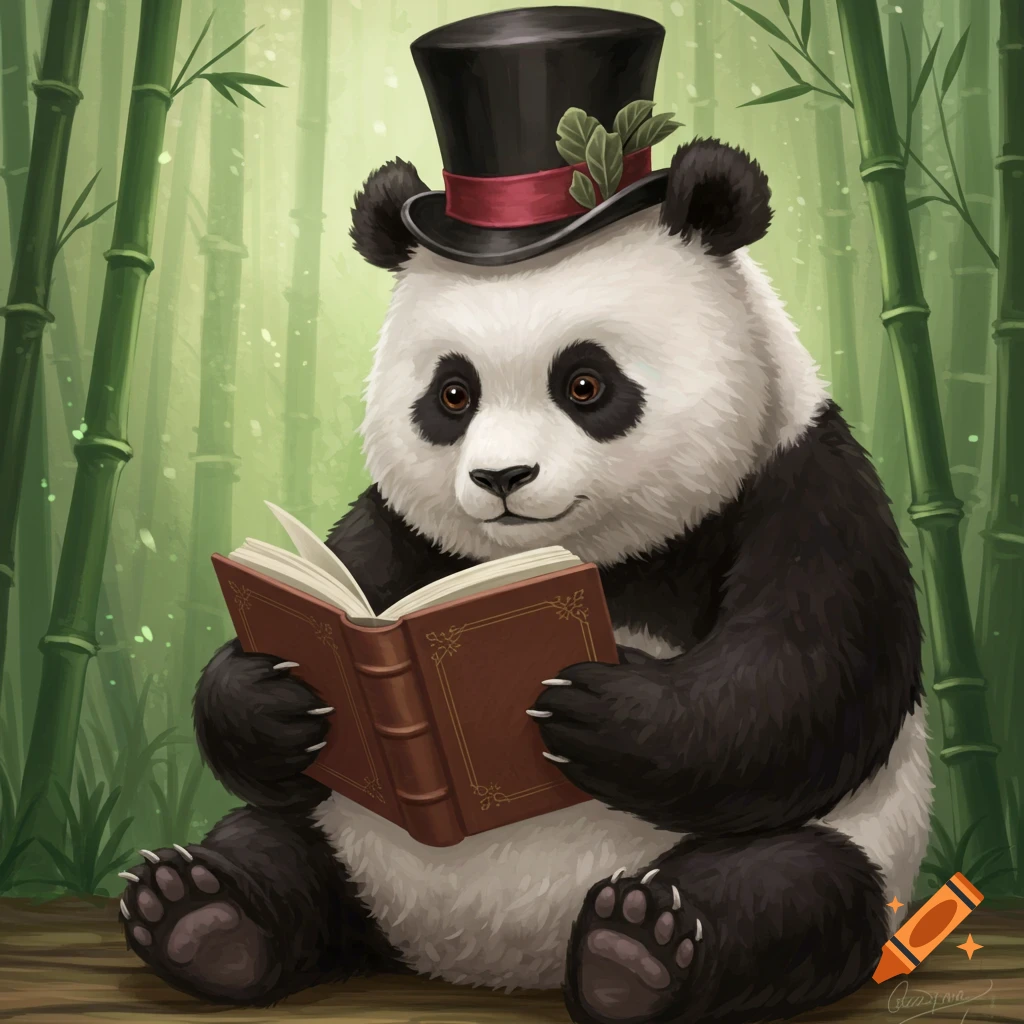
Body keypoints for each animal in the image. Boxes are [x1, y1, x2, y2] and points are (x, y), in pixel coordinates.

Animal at [118, 12, 932, 1024]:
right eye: (452, 394)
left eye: (585, 384)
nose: (502, 476)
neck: (595, 559)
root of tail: (487, 957)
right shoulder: (403, 531)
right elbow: (327, 602)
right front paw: (273, 690)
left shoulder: (801, 486)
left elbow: (803, 685)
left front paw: (594, 705)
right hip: (343, 837)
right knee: (276, 844)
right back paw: (200, 915)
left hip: (857, 848)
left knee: (794, 889)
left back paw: (640, 952)